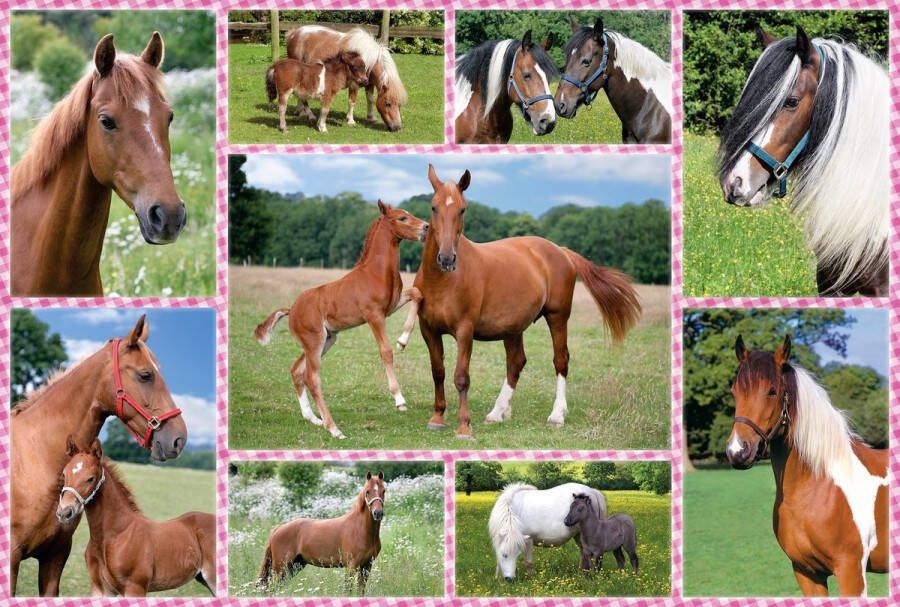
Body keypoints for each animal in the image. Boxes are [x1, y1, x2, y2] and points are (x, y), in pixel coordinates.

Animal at [56, 438, 215, 596]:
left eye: (90, 478)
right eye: (64, 474)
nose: (64, 512)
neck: (114, 536)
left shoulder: (135, 587)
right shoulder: (99, 588)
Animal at [254, 201, 428, 439]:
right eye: (402, 218)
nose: (427, 227)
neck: (376, 271)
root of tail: (292, 310)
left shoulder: (392, 306)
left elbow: (417, 294)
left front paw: (402, 340)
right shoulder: (374, 315)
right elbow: (386, 352)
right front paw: (399, 399)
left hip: (326, 340)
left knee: (297, 370)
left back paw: (314, 419)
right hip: (314, 341)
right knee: (312, 378)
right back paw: (334, 429)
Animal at [397, 165, 641, 438]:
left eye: (462, 209)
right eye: (434, 207)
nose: (447, 258)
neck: (443, 281)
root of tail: (561, 251)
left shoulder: (464, 331)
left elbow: (461, 377)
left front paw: (463, 426)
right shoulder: (428, 330)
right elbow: (438, 371)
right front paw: (438, 417)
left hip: (558, 317)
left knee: (561, 360)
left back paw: (556, 415)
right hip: (512, 328)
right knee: (516, 362)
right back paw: (497, 412)